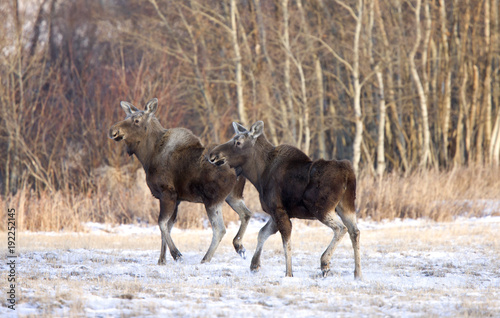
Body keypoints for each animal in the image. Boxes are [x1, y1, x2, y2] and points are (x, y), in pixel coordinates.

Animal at [107, 98, 252, 264]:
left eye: (136, 120)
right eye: (126, 117)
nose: (113, 130)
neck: (147, 157)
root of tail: (239, 168)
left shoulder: (167, 193)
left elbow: (162, 224)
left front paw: (176, 254)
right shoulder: (176, 199)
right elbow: (167, 227)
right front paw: (161, 260)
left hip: (212, 199)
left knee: (220, 229)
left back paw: (206, 258)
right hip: (233, 196)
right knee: (246, 214)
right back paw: (239, 246)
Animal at [209, 121, 362, 278]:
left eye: (238, 142)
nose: (213, 155)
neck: (258, 175)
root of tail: (348, 174)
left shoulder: (278, 209)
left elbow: (285, 242)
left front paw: (288, 274)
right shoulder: (276, 212)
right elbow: (262, 233)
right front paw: (254, 264)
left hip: (320, 207)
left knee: (341, 228)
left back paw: (325, 262)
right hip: (346, 206)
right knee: (355, 231)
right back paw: (358, 274)